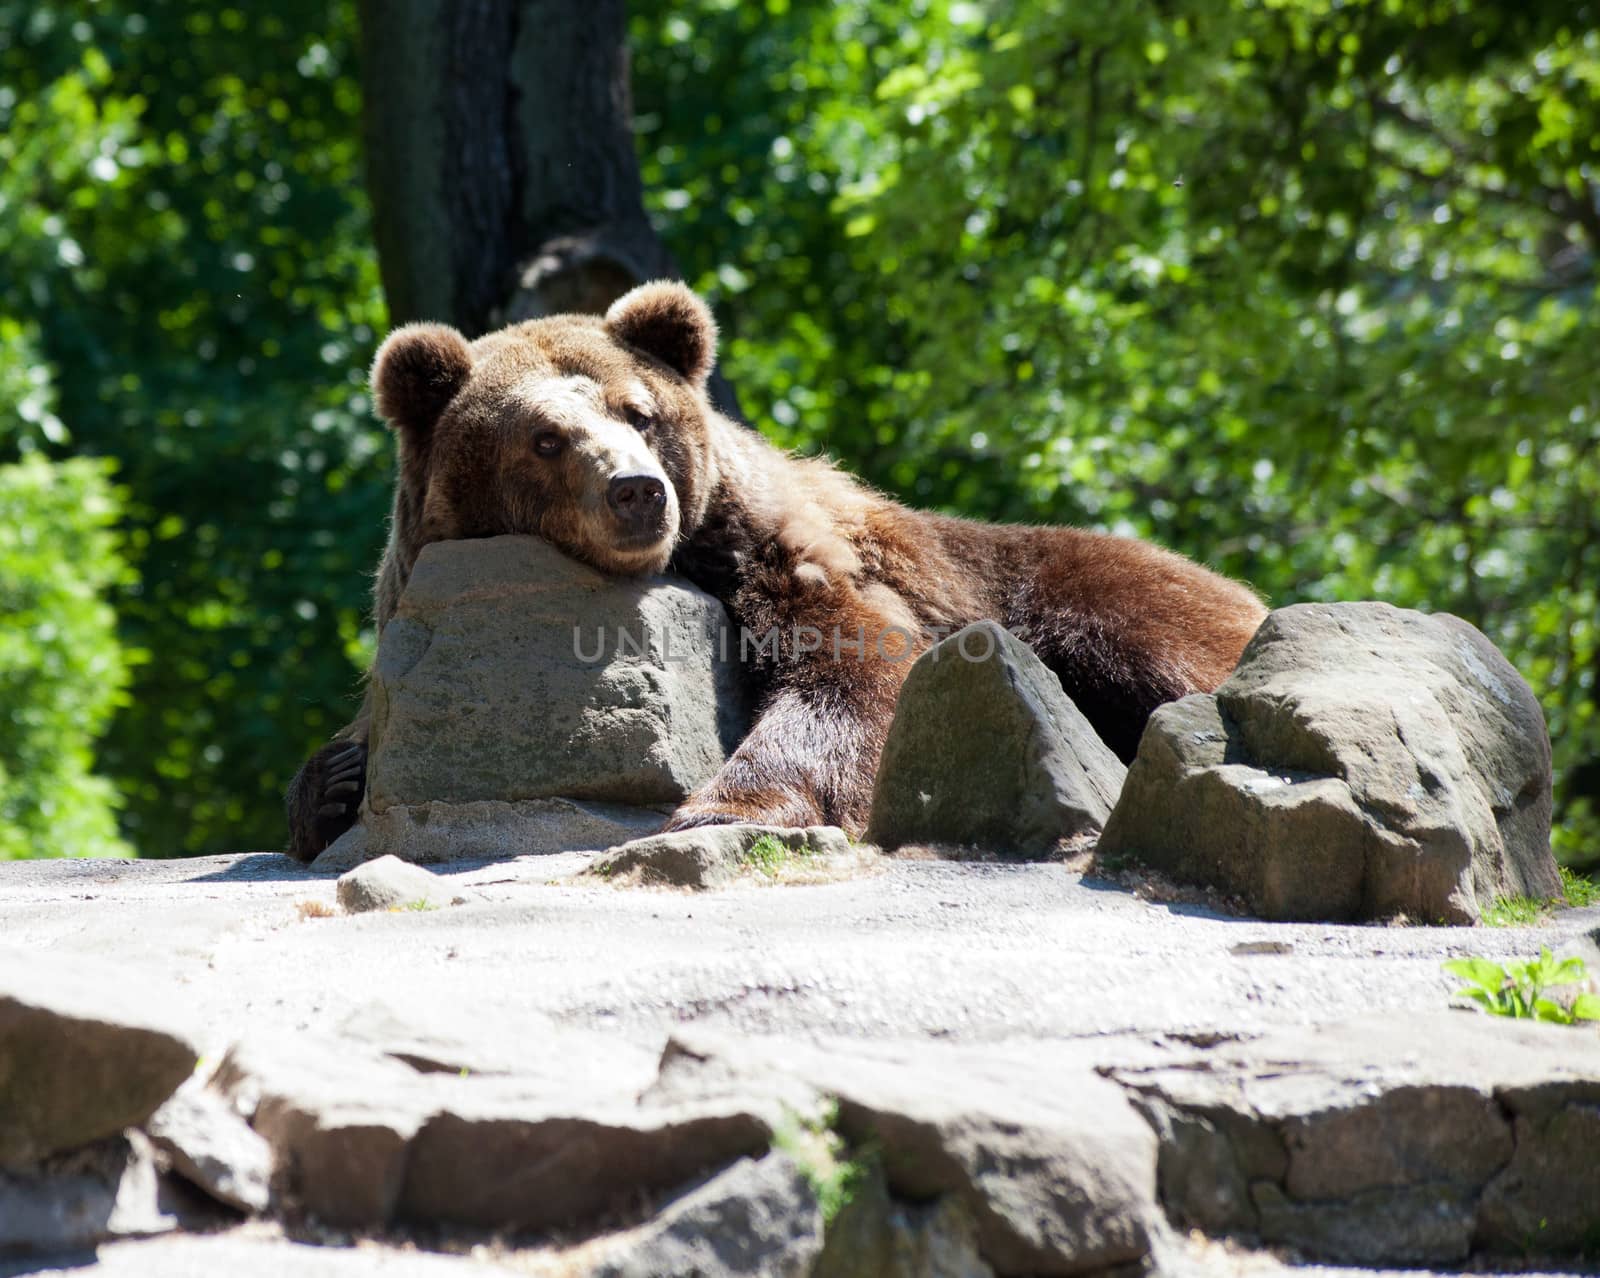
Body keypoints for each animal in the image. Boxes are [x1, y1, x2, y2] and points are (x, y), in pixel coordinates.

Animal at [284, 279, 1260, 857]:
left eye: (637, 412)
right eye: (545, 437)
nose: (636, 492)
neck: (692, 554)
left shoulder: (787, 559)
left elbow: (853, 672)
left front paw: (724, 804)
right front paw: (331, 786)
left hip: (1084, 595)